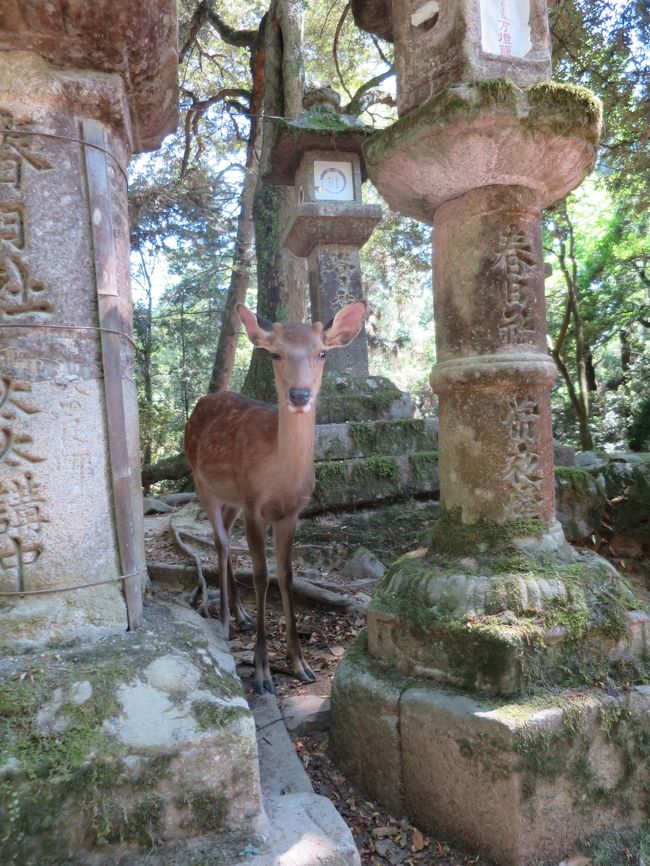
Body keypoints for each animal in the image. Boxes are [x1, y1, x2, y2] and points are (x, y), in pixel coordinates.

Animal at [184, 300, 364, 692]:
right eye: (275, 354)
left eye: (322, 352)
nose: (300, 395)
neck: (279, 479)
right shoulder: (255, 505)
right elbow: (260, 574)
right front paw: (262, 671)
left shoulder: (290, 512)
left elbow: (286, 574)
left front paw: (300, 664)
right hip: (202, 482)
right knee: (221, 544)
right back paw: (224, 622)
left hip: (232, 499)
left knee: (226, 540)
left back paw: (242, 614)